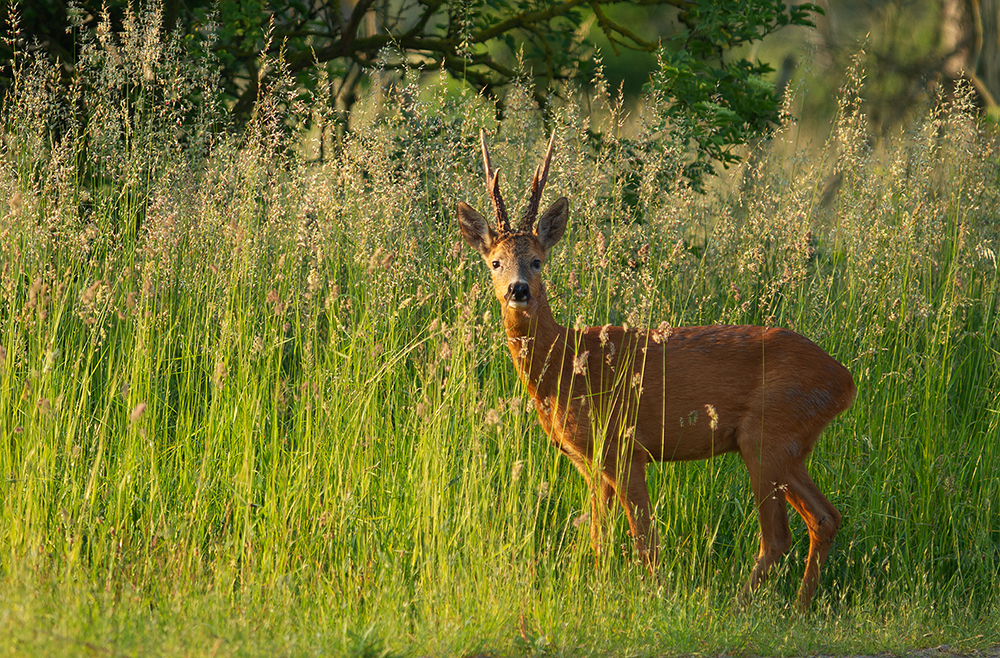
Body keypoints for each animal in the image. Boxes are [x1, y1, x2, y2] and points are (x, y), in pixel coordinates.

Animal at [456, 130, 857, 611]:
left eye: (537, 260)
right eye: (495, 262)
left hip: (767, 437)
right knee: (825, 517)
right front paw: (599, 591)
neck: (566, 368)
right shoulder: (592, 462)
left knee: (778, 536)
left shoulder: (626, 447)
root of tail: (845, 381)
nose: (519, 290)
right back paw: (799, 607)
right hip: (788, 446)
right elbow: (599, 538)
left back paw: (742, 607)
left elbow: (645, 539)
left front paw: (656, 599)